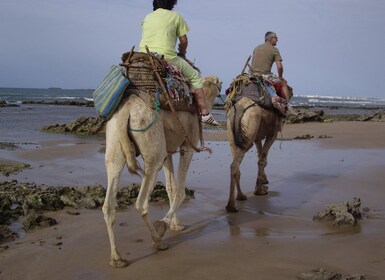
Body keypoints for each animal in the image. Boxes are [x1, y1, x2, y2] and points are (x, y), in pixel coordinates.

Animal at [101, 75, 222, 268]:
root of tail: (126, 111)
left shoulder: (169, 151)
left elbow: (170, 187)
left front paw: (176, 225)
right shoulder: (187, 146)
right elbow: (180, 191)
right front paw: (165, 225)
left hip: (114, 142)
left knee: (109, 203)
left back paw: (117, 258)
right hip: (151, 144)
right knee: (141, 202)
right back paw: (158, 241)